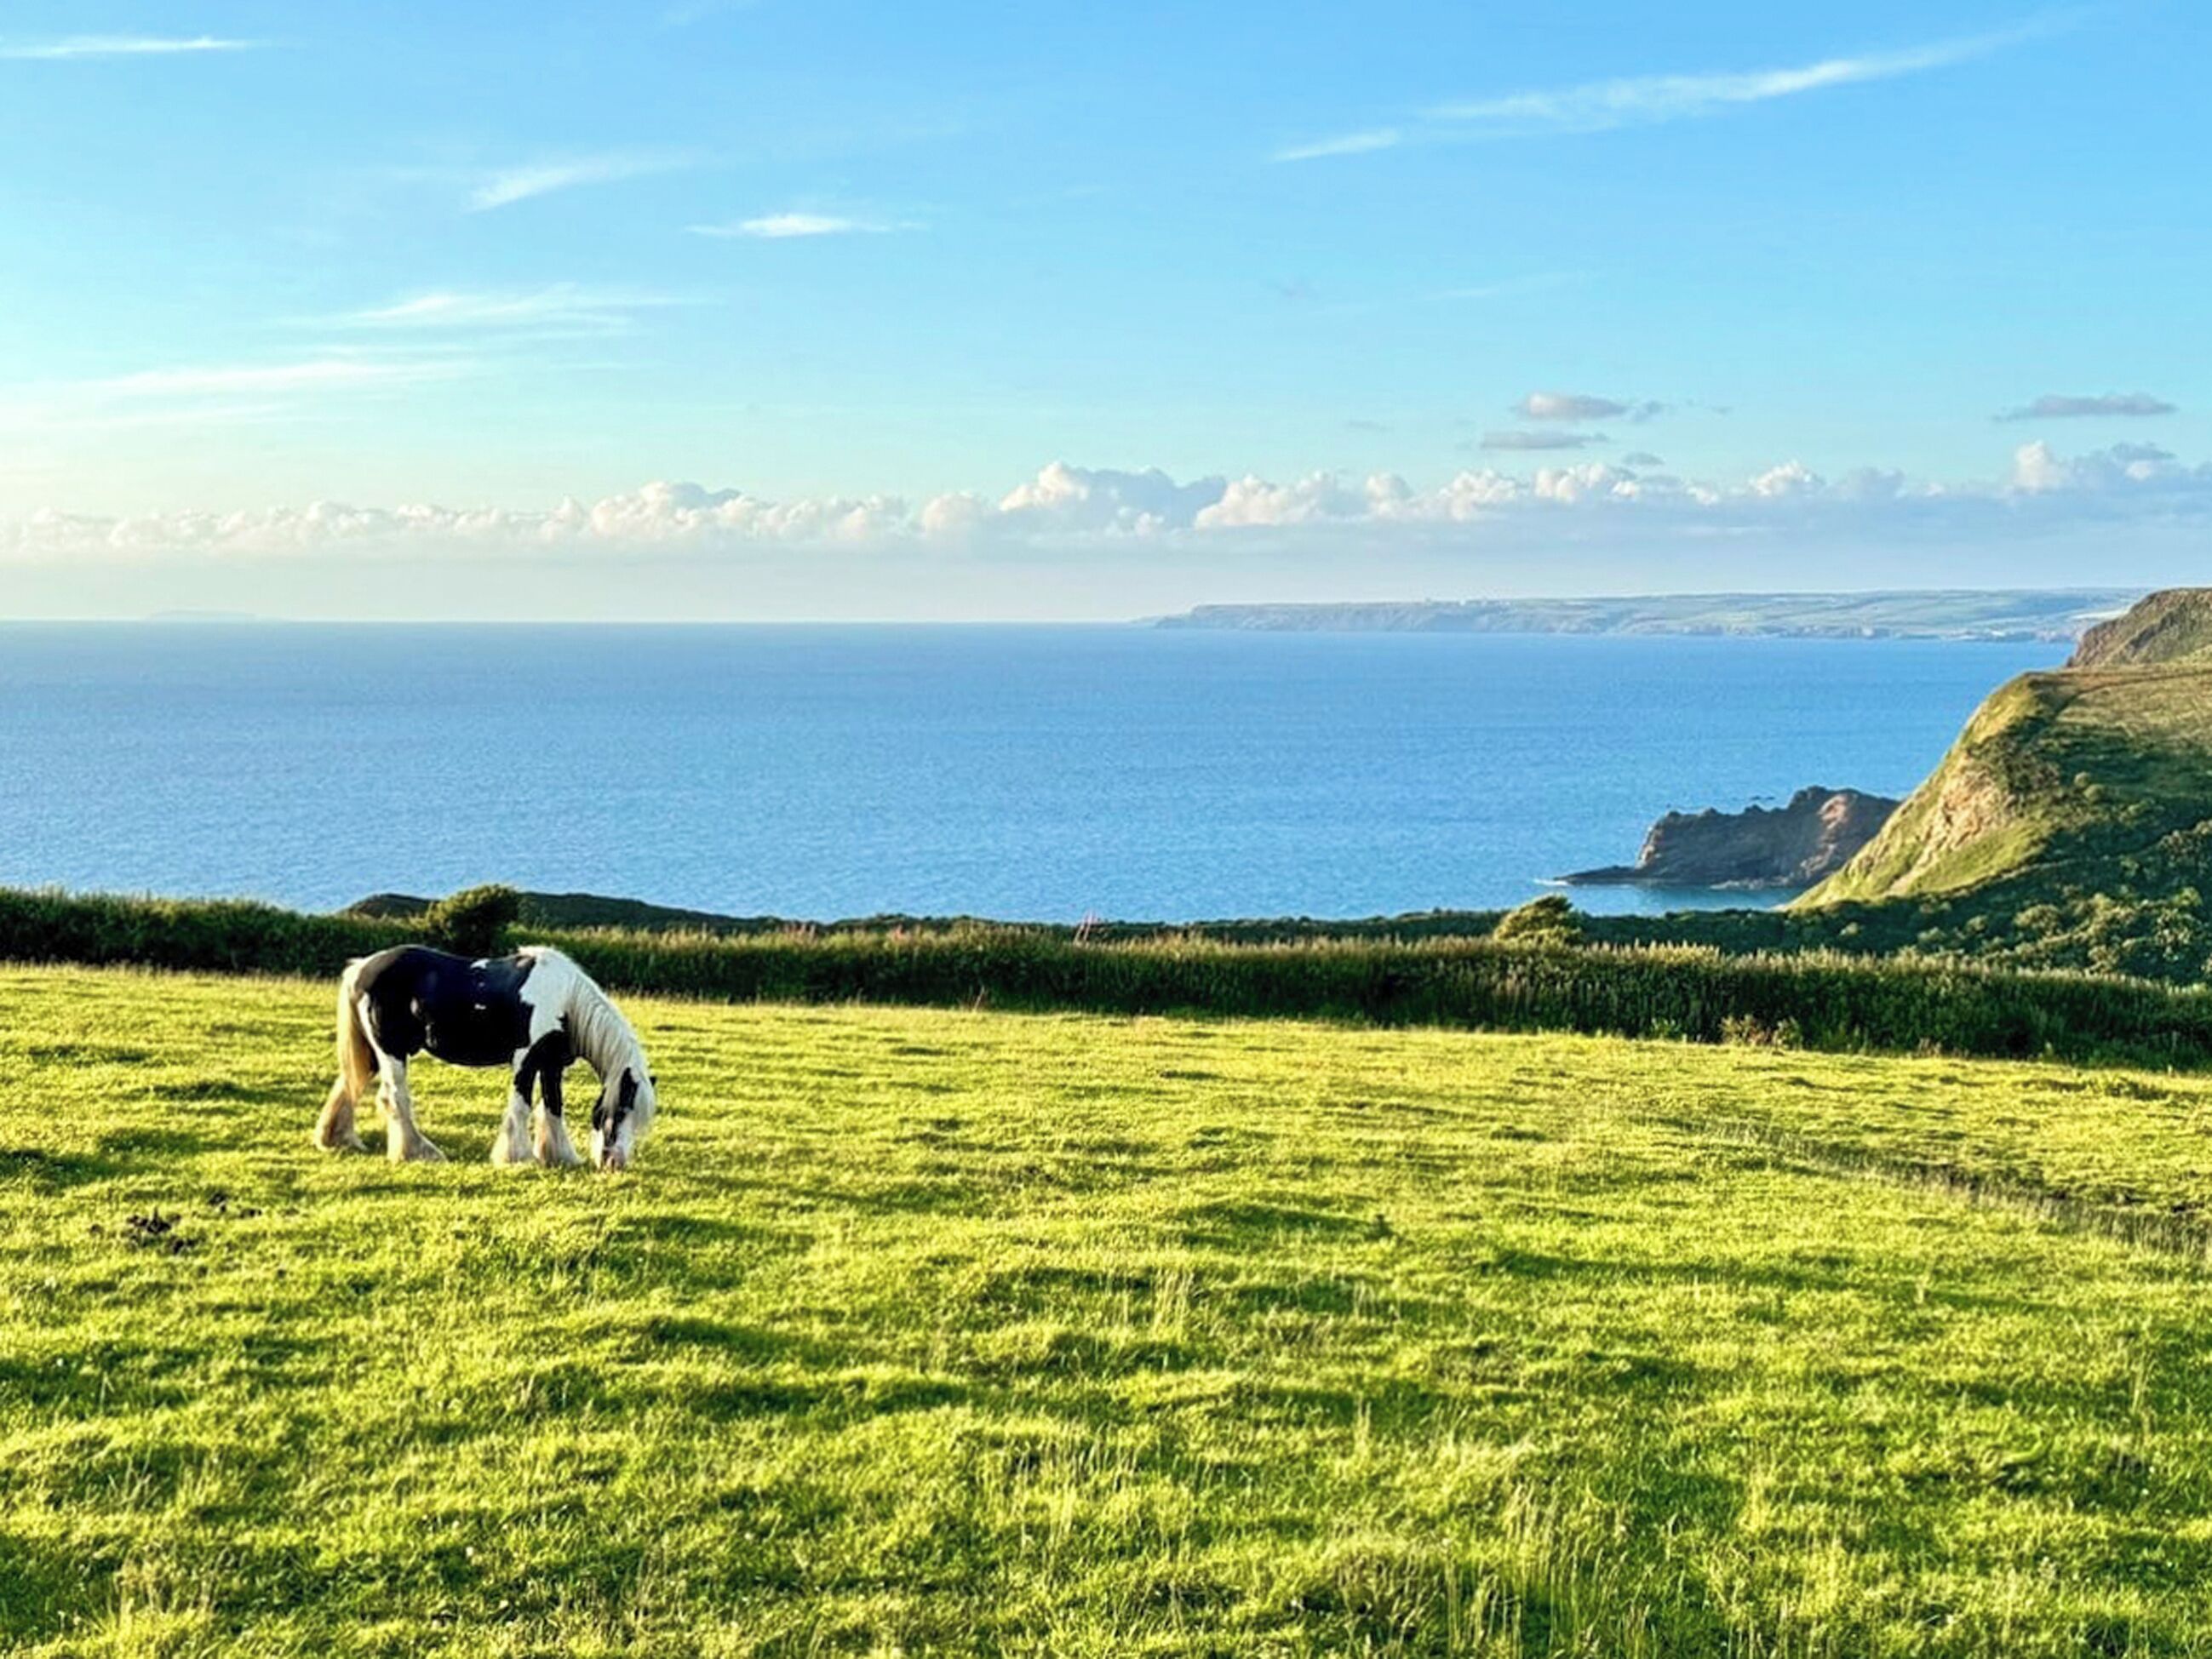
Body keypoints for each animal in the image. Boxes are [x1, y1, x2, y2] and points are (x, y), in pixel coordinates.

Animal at [315, 944, 657, 1171]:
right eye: (622, 1109)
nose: (614, 1162)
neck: (565, 998)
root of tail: (361, 968)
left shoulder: (551, 1064)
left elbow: (553, 1107)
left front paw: (559, 1156)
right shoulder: (526, 1059)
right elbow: (521, 1106)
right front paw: (516, 1157)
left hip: (374, 1052)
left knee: (350, 1085)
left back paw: (336, 1139)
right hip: (392, 1052)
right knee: (394, 1098)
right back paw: (418, 1152)